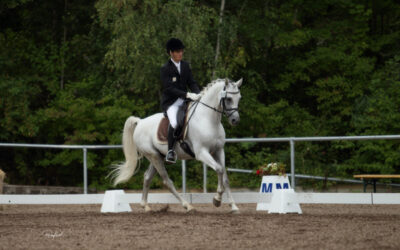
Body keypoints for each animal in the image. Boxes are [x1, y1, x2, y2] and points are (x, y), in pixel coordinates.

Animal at [112, 78, 244, 213]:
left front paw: (233, 206)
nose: (235, 120)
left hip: (157, 156)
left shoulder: (219, 150)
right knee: (167, 181)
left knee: (147, 177)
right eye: (228, 99)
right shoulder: (201, 153)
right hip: (154, 156)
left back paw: (146, 206)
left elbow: (225, 177)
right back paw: (187, 205)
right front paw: (217, 199)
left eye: (239, 98)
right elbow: (219, 169)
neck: (208, 120)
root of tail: (140, 122)